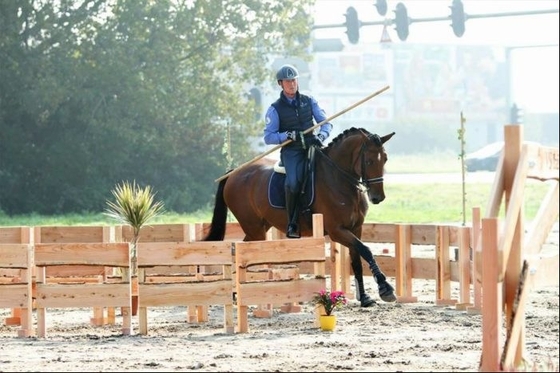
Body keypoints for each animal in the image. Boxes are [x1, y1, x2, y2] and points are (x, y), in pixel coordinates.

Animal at [203, 127, 396, 306]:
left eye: (385, 159)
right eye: (369, 161)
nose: (378, 197)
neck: (338, 179)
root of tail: (233, 173)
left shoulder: (356, 228)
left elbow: (357, 260)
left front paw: (364, 298)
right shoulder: (337, 231)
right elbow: (366, 250)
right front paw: (385, 288)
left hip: (259, 228)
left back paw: (236, 292)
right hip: (255, 229)